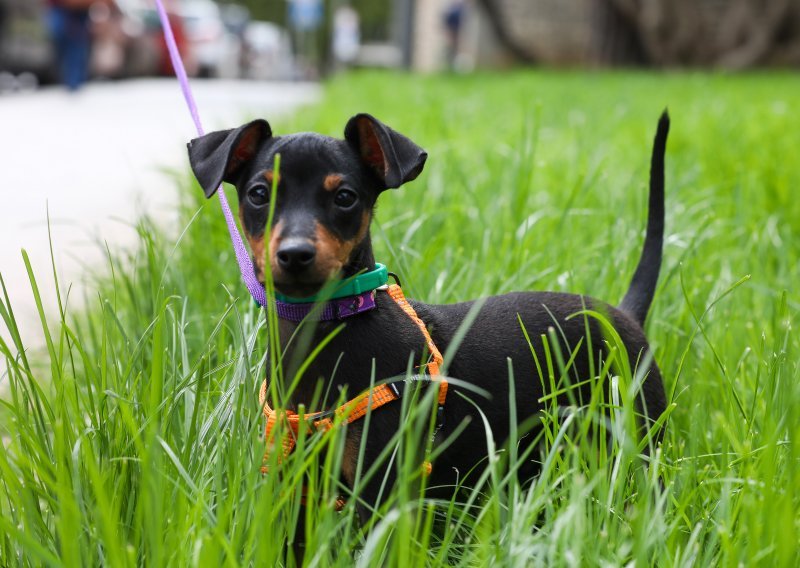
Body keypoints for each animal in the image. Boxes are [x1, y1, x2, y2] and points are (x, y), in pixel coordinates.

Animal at [188, 111, 668, 516]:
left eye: (345, 197)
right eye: (258, 194)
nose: (294, 255)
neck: (321, 327)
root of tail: (622, 314)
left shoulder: (380, 489)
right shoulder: (297, 488)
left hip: (639, 435)